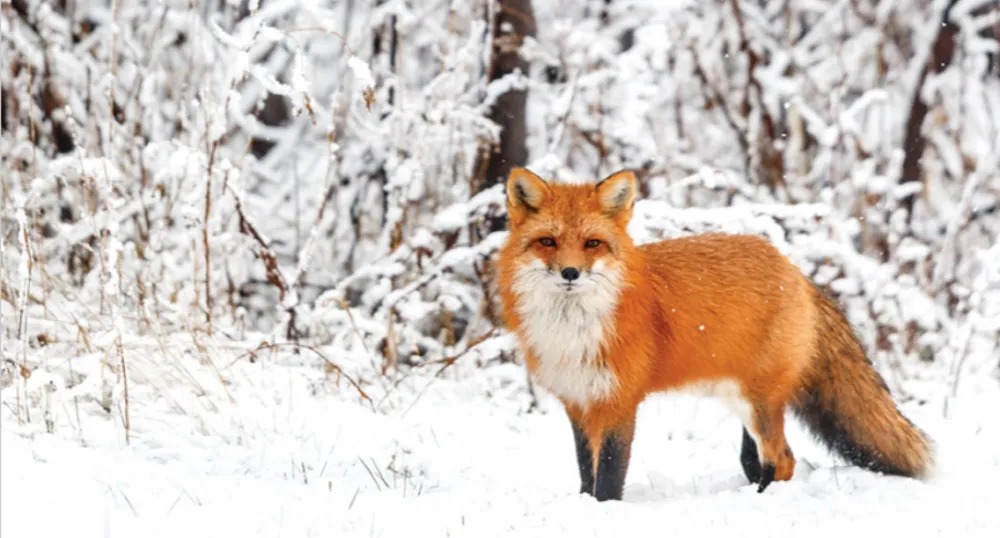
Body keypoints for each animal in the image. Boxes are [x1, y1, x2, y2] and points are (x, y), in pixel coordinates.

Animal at [496, 167, 935, 502]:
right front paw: (585, 506)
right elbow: (586, 473)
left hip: (758, 402)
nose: (570, 272)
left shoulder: (620, 402)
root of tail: (796, 271)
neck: (573, 332)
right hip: (740, 398)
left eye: (592, 244)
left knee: (783, 460)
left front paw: (604, 512)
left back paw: (760, 501)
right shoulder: (578, 401)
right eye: (548, 241)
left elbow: (608, 475)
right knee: (757, 459)